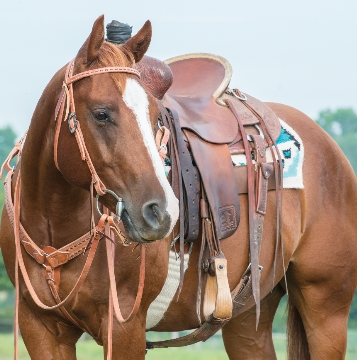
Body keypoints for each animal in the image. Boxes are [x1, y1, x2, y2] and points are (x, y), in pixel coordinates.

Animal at [0, 14, 356, 360]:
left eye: (156, 117)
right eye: (101, 114)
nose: (160, 212)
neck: (56, 228)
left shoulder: (125, 327)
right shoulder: (40, 328)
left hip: (326, 309)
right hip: (248, 317)